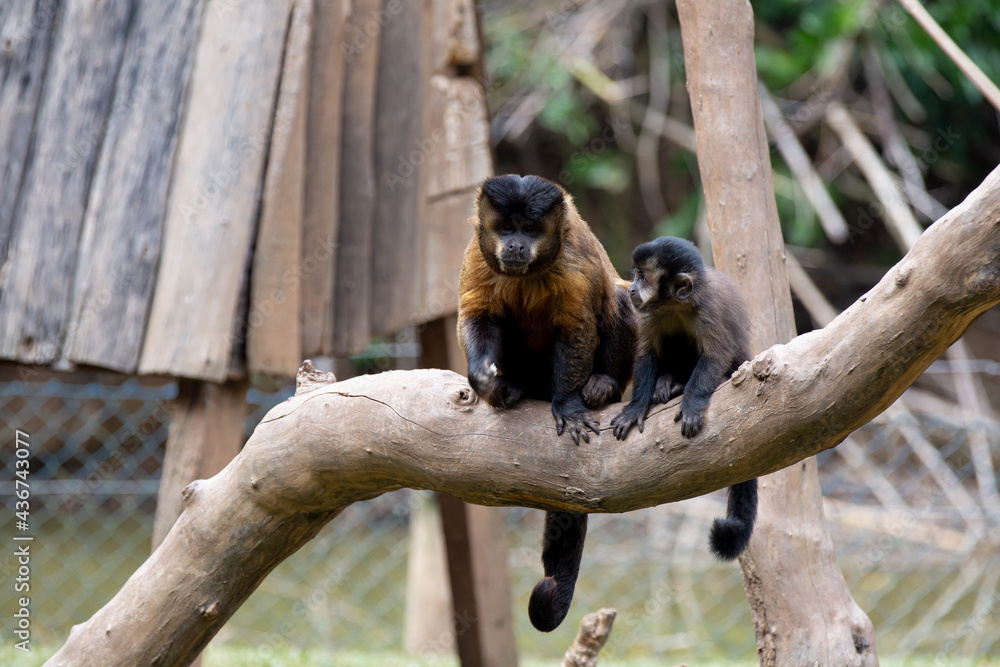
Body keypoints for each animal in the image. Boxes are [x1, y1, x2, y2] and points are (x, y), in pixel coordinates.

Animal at [458, 172, 636, 632]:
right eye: (506, 228)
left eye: (530, 229)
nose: (516, 246)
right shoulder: (478, 254)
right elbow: (477, 314)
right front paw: (484, 379)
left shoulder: (571, 262)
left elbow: (577, 326)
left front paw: (569, 405)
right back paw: (514, 387)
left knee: (620, 297)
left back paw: (602, 386)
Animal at [608, 237, 756, 560]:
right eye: (635, 275)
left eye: (643, 277)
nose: (631, 289)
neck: (674, 305)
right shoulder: (648, 313)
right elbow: (646, 354)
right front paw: (636, 408)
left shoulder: (708, 309)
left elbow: (716, 355)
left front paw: (692, 404)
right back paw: (669, 383)